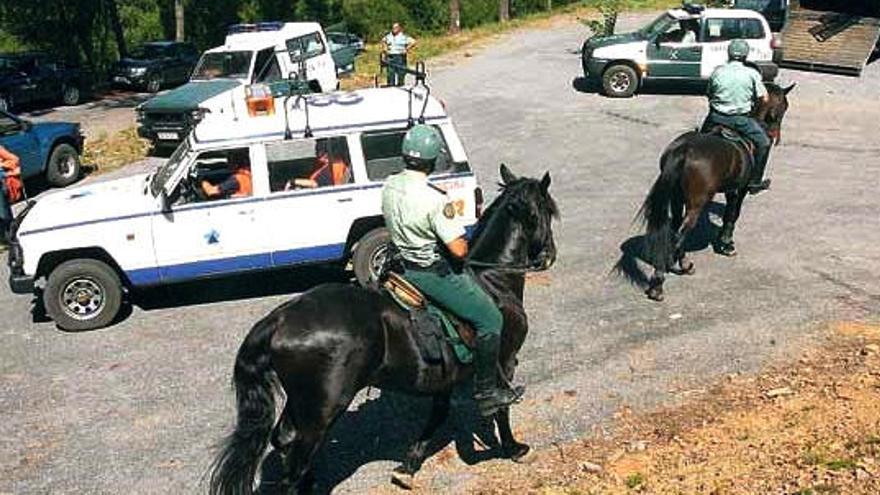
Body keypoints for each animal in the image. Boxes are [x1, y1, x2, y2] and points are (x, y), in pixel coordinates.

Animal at [210, 165, 560, 494]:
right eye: (548, 212)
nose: (550, 255)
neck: (493, 281)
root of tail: (281, 317)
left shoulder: (446, 375)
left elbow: (438, 414)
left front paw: (409, 465)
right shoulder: (505, 360)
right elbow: (500, 408)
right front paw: (514, 448)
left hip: (302, 404)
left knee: (284, 441)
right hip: (322, 410)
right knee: (296, 460)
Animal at [640, 83, 796, 300]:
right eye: (783, 107)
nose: (775, 138)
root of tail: (684, 150)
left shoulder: (730, 190)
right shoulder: (739, 190)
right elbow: (732, 215)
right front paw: (727, 244)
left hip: (677, 198)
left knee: (676, 228)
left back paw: (681, 265)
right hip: (696, 203)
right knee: (680, 233)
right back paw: (660, 281)